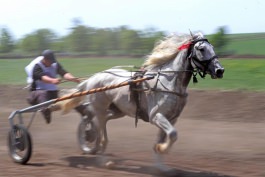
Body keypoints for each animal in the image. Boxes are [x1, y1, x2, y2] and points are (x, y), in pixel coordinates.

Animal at [60, 31, 224, 170]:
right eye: (201, 49)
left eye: (212, 47)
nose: (220, 71)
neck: (169, 81)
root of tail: (94, 77)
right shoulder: (156, 116)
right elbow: (172, 134)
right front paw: (162, 149)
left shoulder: (171, 118)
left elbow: (165, 137)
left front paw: (161, 164)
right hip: (100, 108)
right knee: (100, 132)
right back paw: (102, 158)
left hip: (118, 110)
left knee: (104, 121)